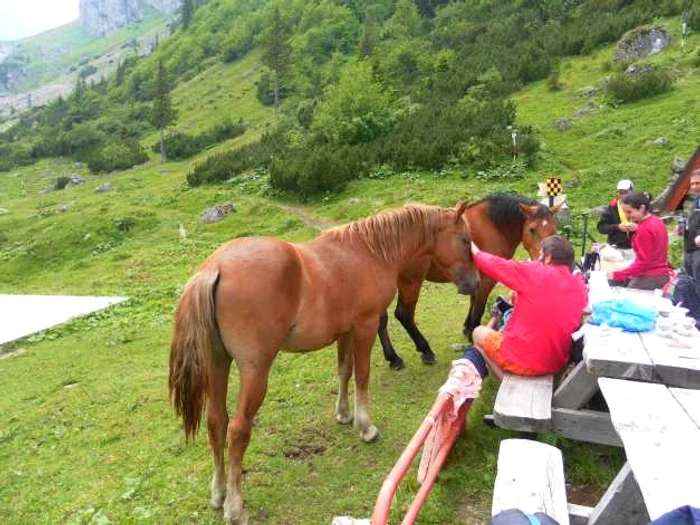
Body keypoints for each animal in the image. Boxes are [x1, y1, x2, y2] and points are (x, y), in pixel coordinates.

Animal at [168, 202, 482, 524]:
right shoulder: (366, 326)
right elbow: (362, 375)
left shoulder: (345, 332)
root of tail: (215, 268)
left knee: (216, 422)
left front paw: (343, 414)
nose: (475, 283)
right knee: (238, 429)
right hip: (255, 371)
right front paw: (366, 426)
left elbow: (344, 371)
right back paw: (234, 506)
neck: (370, 251)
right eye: (465, 240)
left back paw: (218, 493)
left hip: (218, 364)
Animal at [378, 192, 556, 368]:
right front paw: (472, 335)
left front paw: (466, 328)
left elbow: (472, 302)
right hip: (411, 283)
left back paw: (393, 357)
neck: (493, 225)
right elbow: (478, 308)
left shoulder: (474, 278)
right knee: (404, 314)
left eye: (554, 229)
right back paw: (425, 351)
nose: (543, 259)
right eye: (532, 229)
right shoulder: (486, 280)